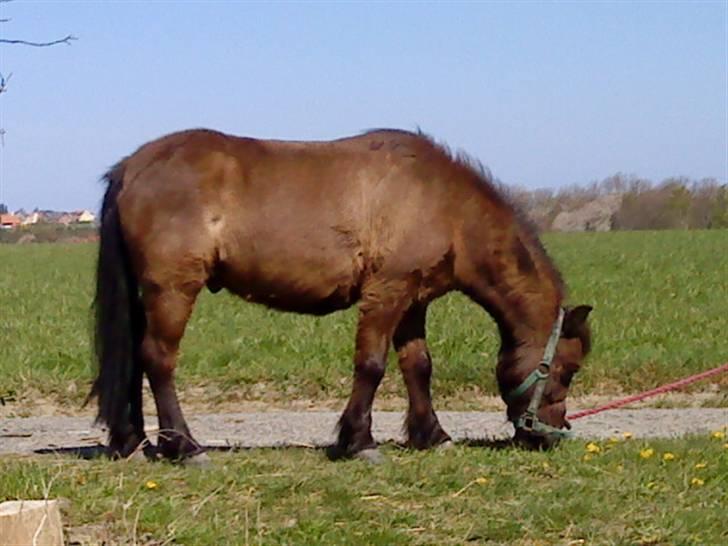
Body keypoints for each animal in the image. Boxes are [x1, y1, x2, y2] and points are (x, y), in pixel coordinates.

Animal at [91, 129, 592, 464]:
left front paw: (432, 435)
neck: (446, 205)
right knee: (158, 361)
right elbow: (371, 366)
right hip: (173, 289)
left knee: (135, 361)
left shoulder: (413, 301)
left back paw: (136, 441)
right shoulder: (386, 293)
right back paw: (186, 446)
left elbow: (418, 367)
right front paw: (359, 441)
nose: (551, 435)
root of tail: (133, 166)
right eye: (566, 370)